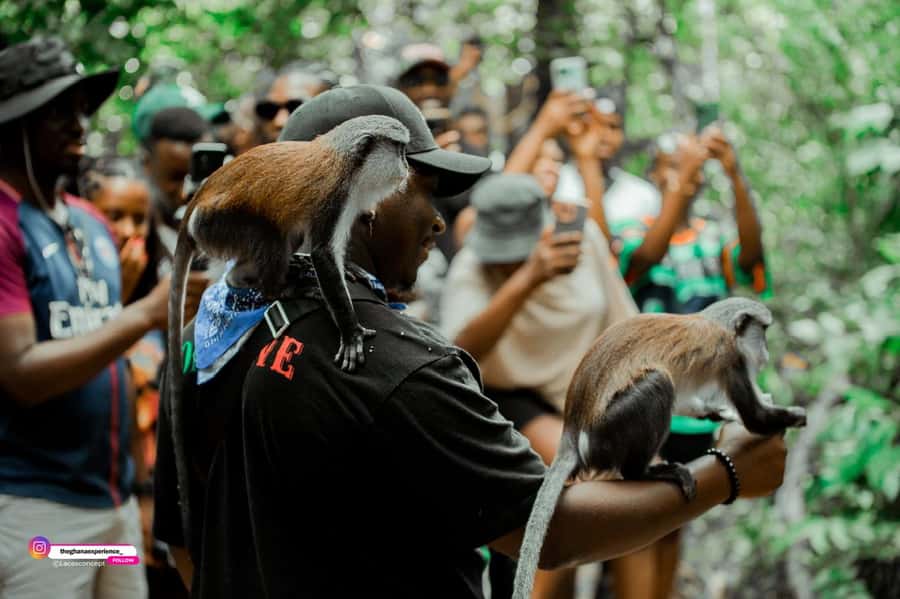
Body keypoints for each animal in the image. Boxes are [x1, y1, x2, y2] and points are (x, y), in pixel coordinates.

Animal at [165, 114, 410, 550]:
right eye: (399, 149)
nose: (407, 167)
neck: (347, 158)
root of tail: (196, 200)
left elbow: (333, 256)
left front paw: (350, 271)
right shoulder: (334, 197)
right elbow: (324, 255)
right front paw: (350, 331)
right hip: (220, 224)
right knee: (267, 236)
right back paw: (281, 287)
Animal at [512, 297, 806, 599]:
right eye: (764, 331)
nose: (766, 351)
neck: (717, 322)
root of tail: (572, 433)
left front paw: (721, 413)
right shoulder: (731, 357)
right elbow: (754, 418)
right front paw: (794, 416)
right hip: (609, 432)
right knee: (659, 383)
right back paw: (644, 472)